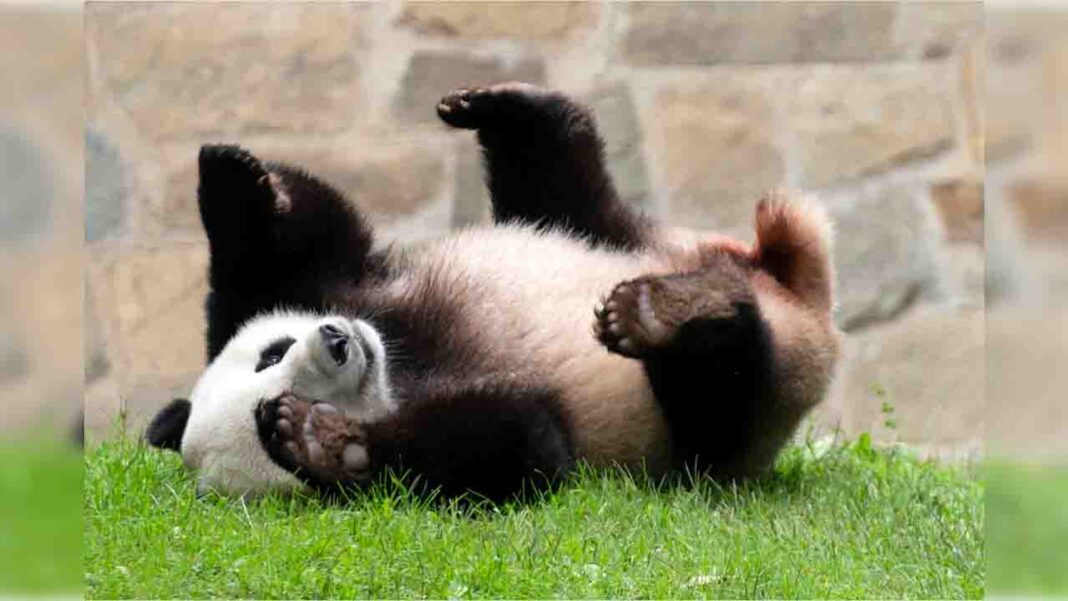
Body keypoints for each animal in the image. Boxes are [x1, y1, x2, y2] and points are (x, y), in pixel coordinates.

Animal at [145, 83, 841, 501]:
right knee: (724, 389)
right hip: (731, 422)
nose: (338, 342)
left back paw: (505, 110)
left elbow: (301, 246)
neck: (400, 364)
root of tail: (796, 294)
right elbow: (520, 448)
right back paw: (670, 316)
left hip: (626, 237)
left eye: (271, 353)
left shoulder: (343, 288)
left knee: (564, 186)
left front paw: (230, 176)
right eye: (280, 387)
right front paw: (323, 442)